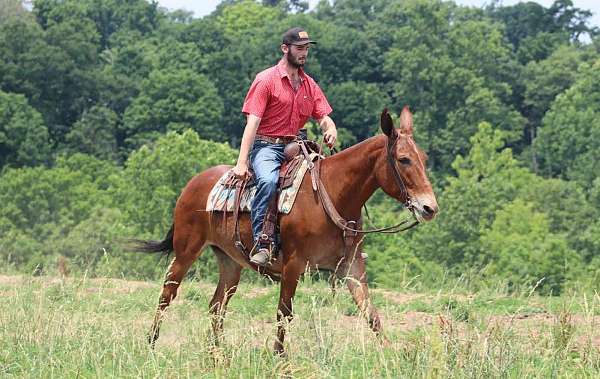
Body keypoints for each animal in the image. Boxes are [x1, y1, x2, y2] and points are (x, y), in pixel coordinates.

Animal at [137, 107, 436, 356]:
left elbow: (371, 314)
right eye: (404, 159)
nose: (429, 207)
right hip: (186, 251)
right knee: (167, 295)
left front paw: (393, 356)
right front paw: (280, 359)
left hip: (230, 262)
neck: (332, 194)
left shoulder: (351, 267)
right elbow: (284, 313)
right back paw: (150, 346)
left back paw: (217, 356)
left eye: (423, 158)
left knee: (217, 305)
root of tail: (193, 183)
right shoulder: (293, 265)